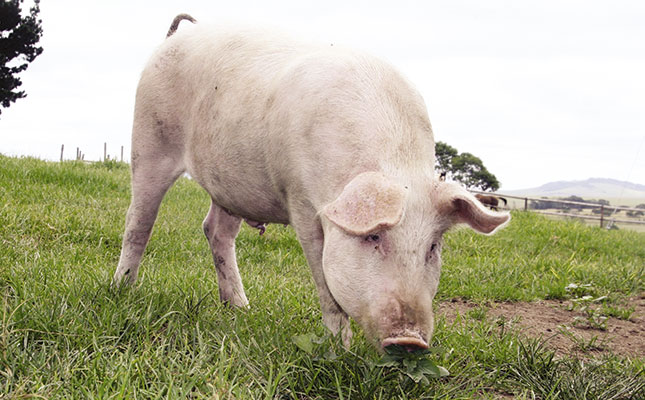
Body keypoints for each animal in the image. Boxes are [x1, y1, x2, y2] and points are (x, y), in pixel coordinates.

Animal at [113, 15, 510, 352]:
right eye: (373, 237)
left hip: (230, 183)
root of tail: (176, 36)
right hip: (149, 140)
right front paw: (339, 351)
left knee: (215, 230)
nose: (410, 341)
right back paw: (121, 290)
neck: (394, 163)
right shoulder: (301, 200)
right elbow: (326, 285)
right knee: (138, 222)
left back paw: (240, 308)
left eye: (432, 247)